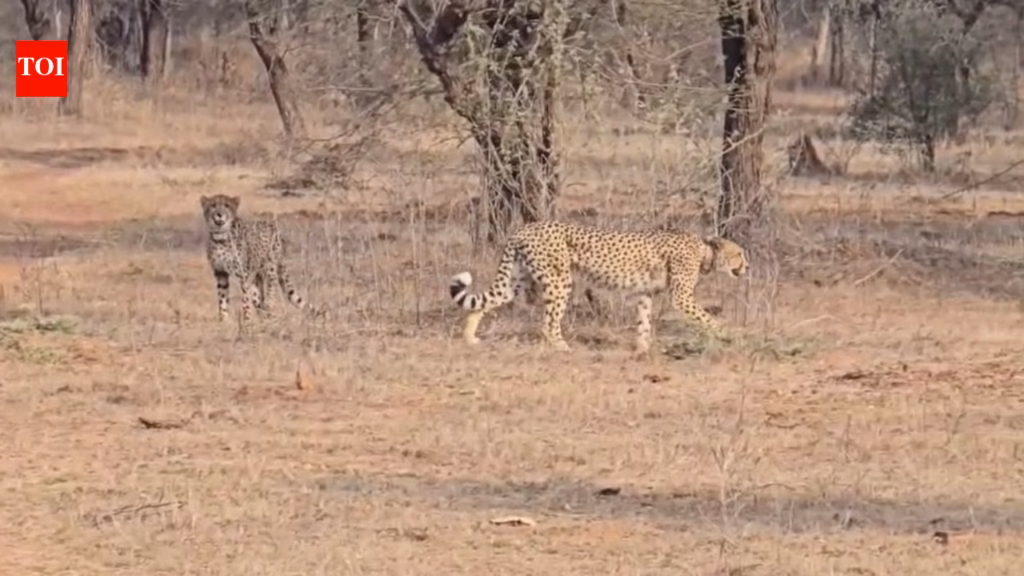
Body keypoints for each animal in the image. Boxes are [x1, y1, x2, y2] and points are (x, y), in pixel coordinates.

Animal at [200, 194, 313, 334]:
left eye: (227, 205)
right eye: (213, 205)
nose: (219, 214)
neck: (220, 237)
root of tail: (272, 226)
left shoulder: (243, 275)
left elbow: (245, 300)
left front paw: (247, 323)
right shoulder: (220, 273)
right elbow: (222, 299)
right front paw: (223, 322)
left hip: (270, 268)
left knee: (270, 291)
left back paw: (269, 311)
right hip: (256, 276)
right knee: (259, 299)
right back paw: (264, 319)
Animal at [448, 220, 748, 354]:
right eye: (739, 254)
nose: (747, 266)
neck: (704, 252)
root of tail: (526, 227)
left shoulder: (645, 294)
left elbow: (643, 322)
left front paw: (642, 349)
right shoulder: (681, 297)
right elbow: (707, 318)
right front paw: (729, 335)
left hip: (519, 281)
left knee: (485, 302)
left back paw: (470, 337)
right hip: (559, 280)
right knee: (548, 322)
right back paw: (561, 346)